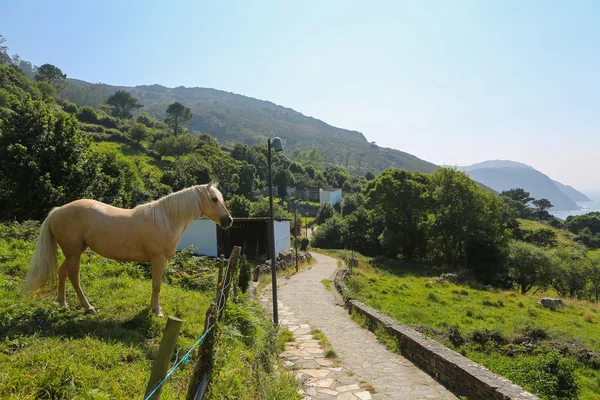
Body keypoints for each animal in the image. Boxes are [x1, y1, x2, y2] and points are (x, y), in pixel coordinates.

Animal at [24, 183, 230, 318]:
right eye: (214, 199)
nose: (228, 221)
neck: (166, 218)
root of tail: (58, 211)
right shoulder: (158, 259)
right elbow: (157, 285)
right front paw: (156, 311)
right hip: (74, 253)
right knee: (74, 277)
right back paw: (88, 307)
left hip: (74, 252)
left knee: (62, 272)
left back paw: (62, 303)